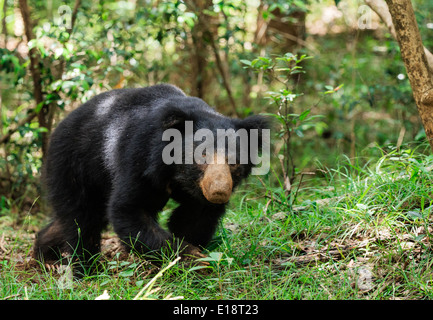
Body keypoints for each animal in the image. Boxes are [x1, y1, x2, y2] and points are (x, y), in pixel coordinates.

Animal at [33, 84, 268, 272]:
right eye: (202, 156)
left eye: (234, 162)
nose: (219, 191)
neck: (178, 175)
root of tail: (59, 126)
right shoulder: (139, 158)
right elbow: (129, 210)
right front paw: (190, 257)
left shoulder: (197, 194)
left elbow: (194, 216)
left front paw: (194, 251)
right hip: (75, 165)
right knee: (82, 218)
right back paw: (84, 267)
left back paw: (45, 255)